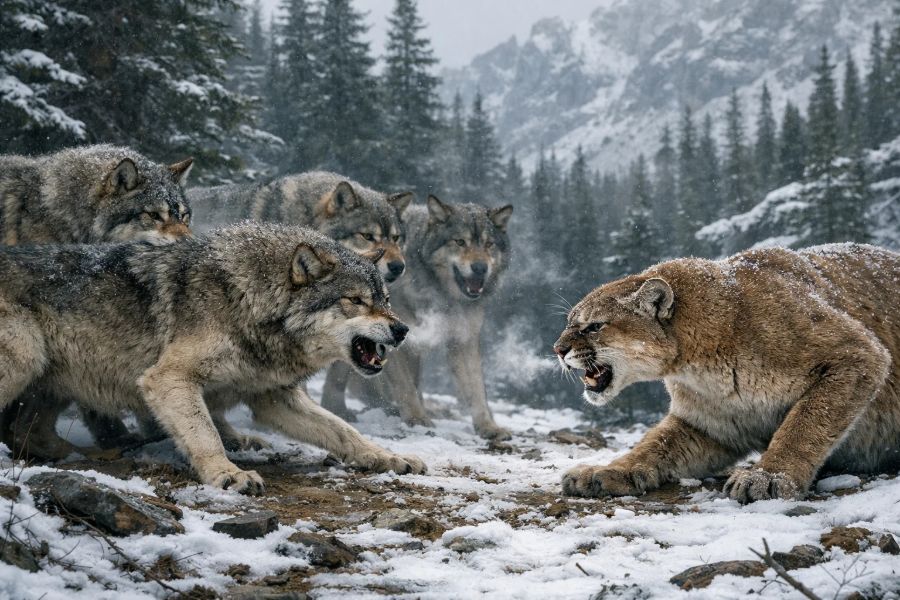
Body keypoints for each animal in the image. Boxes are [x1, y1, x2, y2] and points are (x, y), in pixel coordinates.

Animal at [0, 223, 425, 492]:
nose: (402, 330)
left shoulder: (275, 398)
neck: (249, 300)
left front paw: (389, 458)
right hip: (25, 356)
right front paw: (227, 473)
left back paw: (81, 454)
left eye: (386, 301)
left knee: (25, 431)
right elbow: (205, 433)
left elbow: (345, 432)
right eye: (356, 301)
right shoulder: (168, 378)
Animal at [321, 196, 514, 440]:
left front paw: (489, 427)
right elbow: (405, 386)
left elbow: (477, 389)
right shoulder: (394, 340)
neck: (442, 294)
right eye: (460, 242)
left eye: (489, 245)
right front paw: (416, 419)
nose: (480, 267)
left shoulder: (463, 340)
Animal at [555, 244, 900, 503]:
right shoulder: (708, 424)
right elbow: (654, 445)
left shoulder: (856, 354)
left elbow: (805, 424)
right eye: (569, 322)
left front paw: (768, 476)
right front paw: (605, 472)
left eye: (594, 326)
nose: (557, 349)